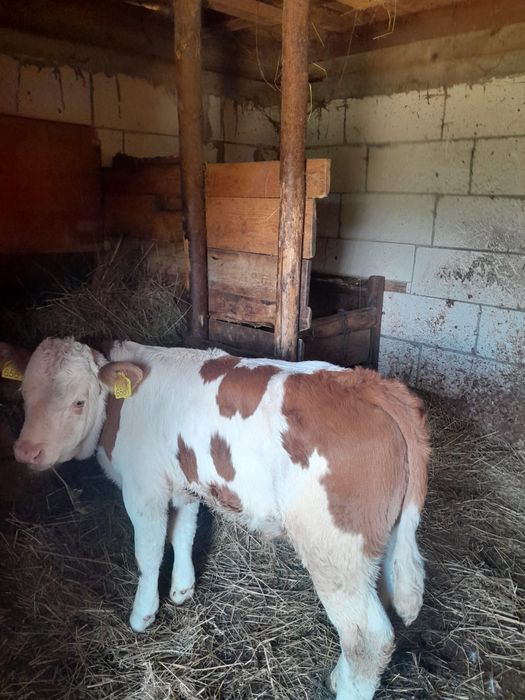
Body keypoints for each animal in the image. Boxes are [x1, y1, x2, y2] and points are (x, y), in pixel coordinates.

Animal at [4, 337, 429, 700]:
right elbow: (183, 534)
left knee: (366, 638)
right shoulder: (184, 485)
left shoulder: (144, 490)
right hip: (380, 544)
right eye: (24, 395)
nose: (26, 451)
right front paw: (182, 590)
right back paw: (339, 677)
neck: (120, 407)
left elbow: (149, 553)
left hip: (335, 550)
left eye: (78, 401)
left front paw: (143, 615)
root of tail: (369, 385)